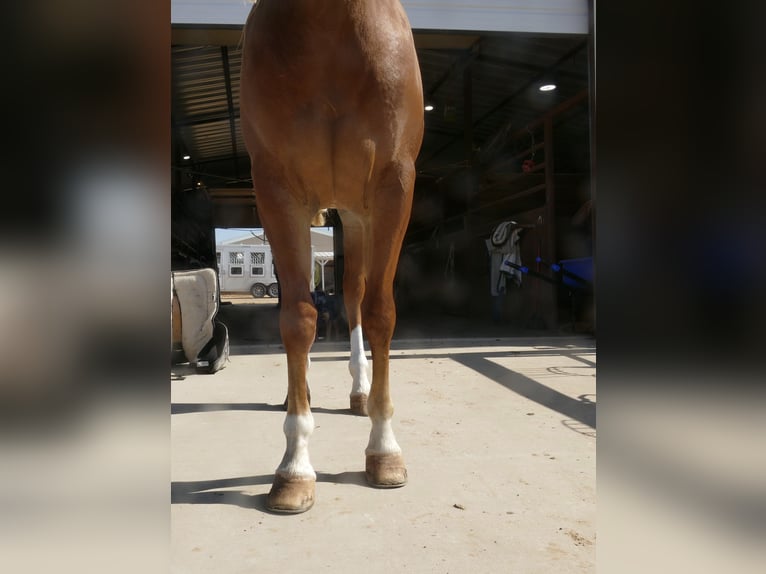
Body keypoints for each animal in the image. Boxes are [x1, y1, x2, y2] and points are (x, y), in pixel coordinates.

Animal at [239, 0, 424, 513]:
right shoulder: (277, 190)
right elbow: (298, 319)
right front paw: (294, 468)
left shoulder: (393, 185)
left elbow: (380, 313)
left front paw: (384, 450)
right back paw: (294, 393)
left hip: (357, 215)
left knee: (355, 294)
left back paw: (360, 392)